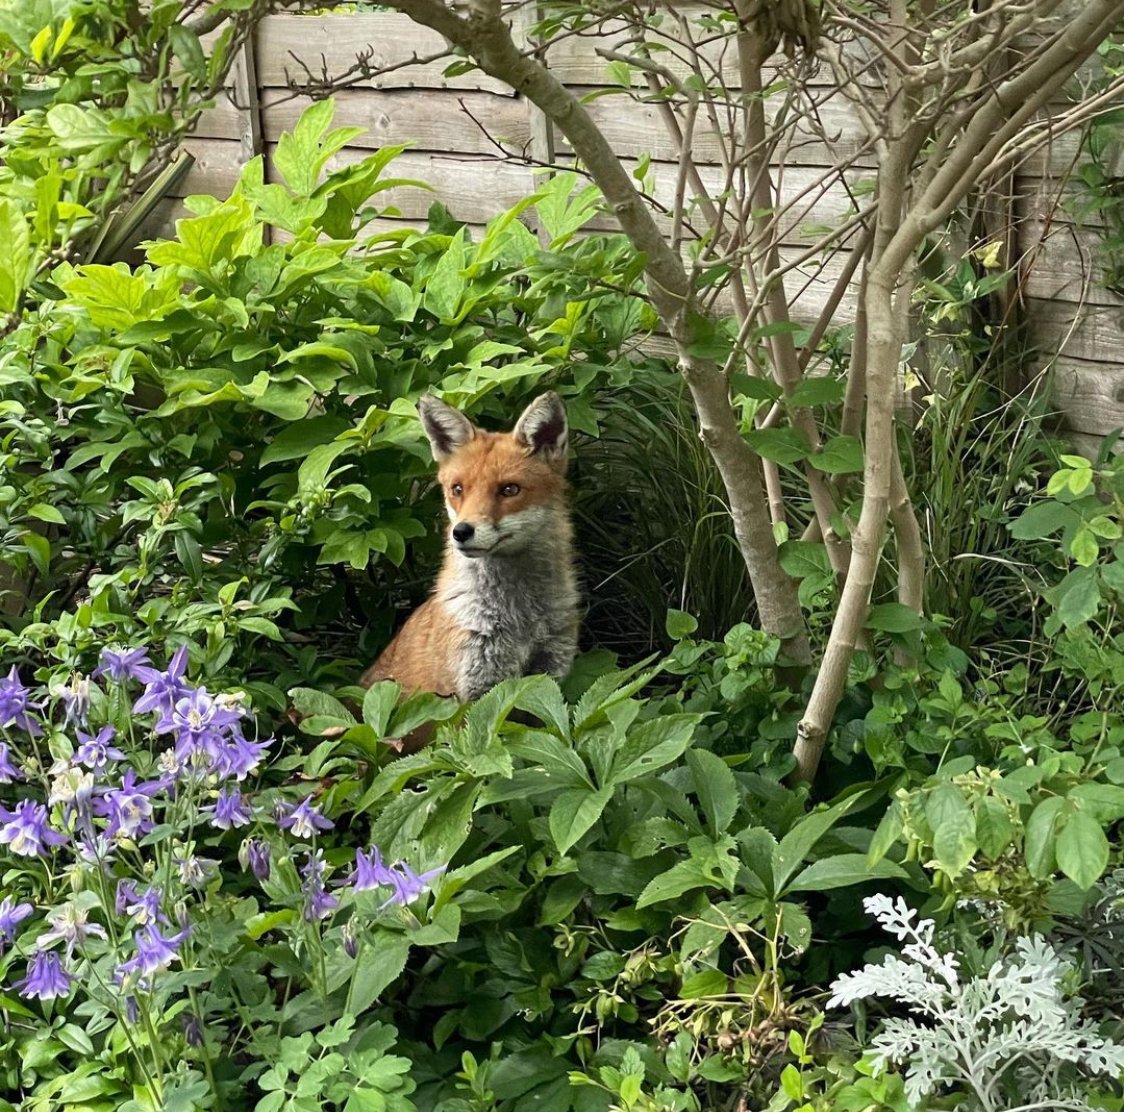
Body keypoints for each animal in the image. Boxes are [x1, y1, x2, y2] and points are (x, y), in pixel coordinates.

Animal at [361, 391, 579, 737]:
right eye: (458, 489)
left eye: (509, 489)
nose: (461, 532)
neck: (520, 619)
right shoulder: (472, 695)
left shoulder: (548, 676)